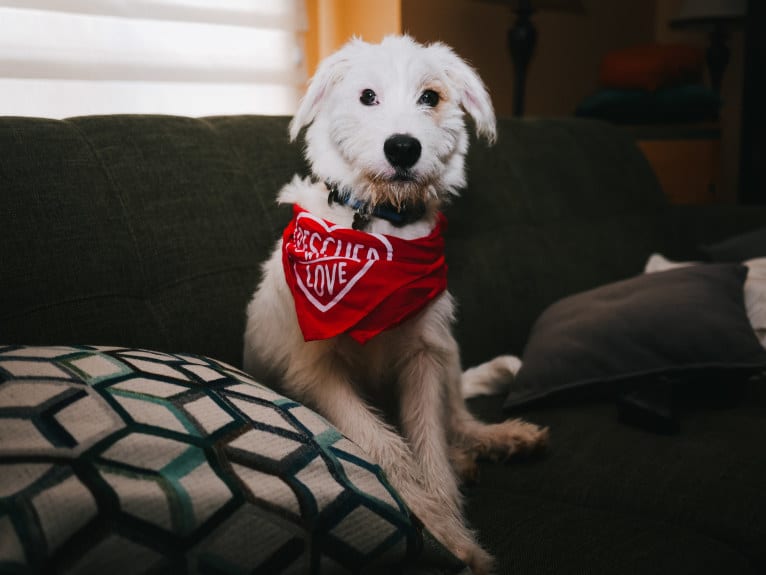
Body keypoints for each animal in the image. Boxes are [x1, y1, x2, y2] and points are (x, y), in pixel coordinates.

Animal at [243, 37, 548, 575]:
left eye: (431, 97)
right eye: (367, 96)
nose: (403, 147)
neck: (378, 228)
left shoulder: (424, 357)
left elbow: (428, 447)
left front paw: (450, 523)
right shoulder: (318, 372)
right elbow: (386, 449)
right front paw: (447, 534)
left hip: (449, 353)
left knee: (457, 422)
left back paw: (494, 440)